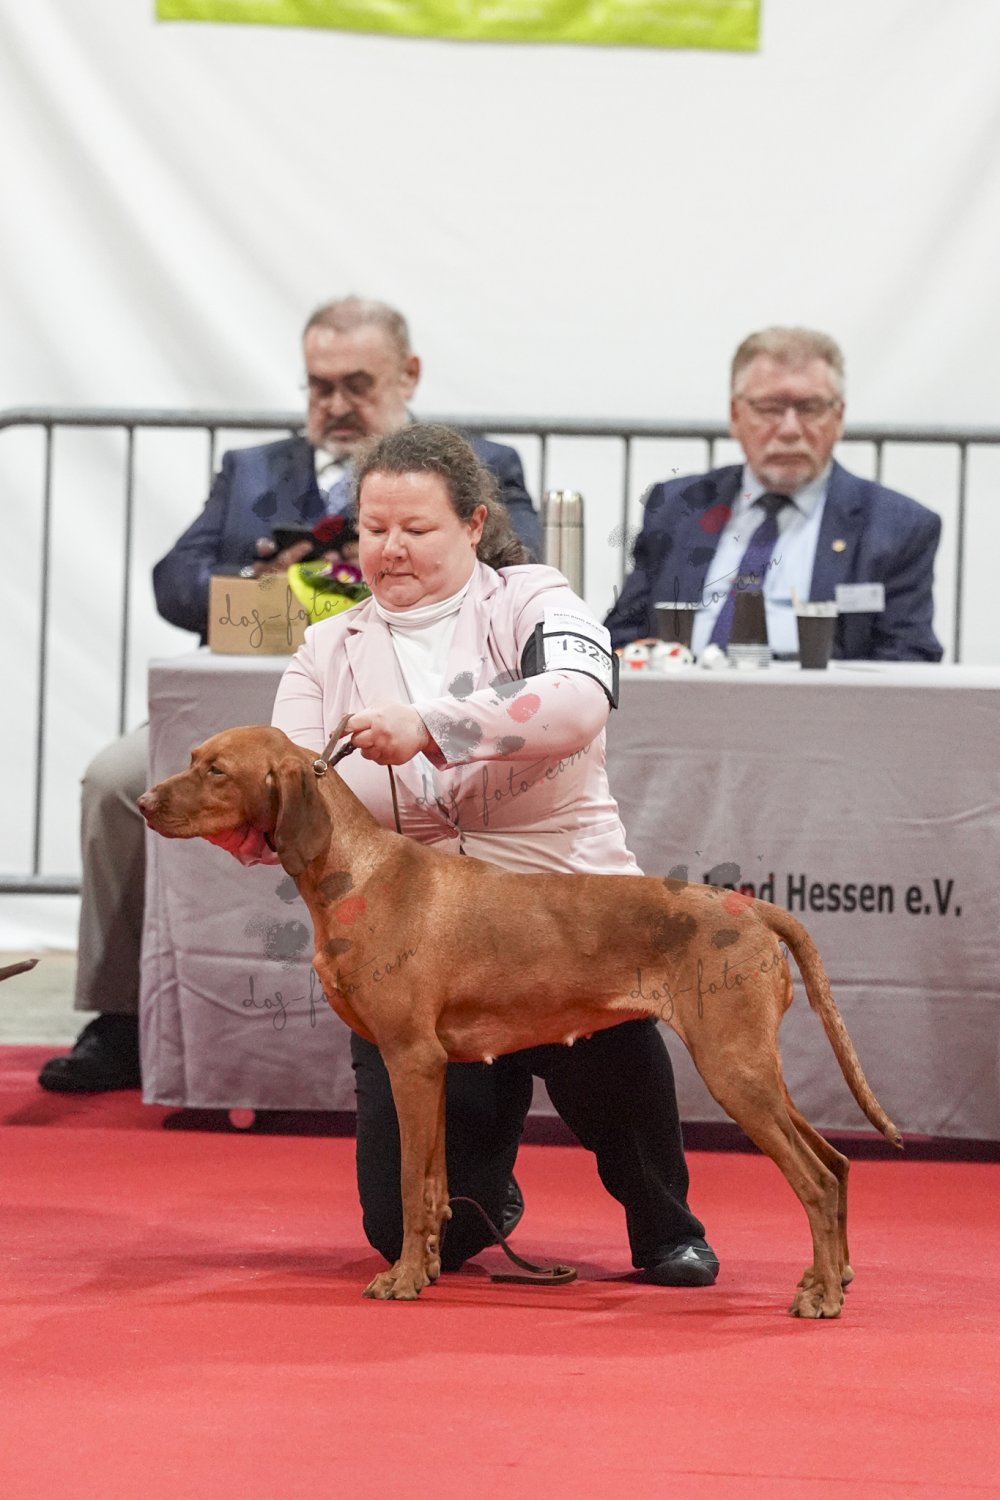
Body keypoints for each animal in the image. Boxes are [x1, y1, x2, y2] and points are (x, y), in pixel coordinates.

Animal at [139, 724, 901, 1317]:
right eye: (194, 755)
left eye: (216, 770)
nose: (144, 802)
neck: (357, 871)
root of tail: (751, 907)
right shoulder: (433, 1068)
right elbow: (435, 1185)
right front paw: (428, 1267)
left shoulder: (409, 1059)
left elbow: (409, 1186)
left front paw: (401, 1281)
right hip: (754, 1068)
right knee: (837, 1163)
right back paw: (834, 1275)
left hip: (732, 1067)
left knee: (817, 1179)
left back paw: (821, 1296)